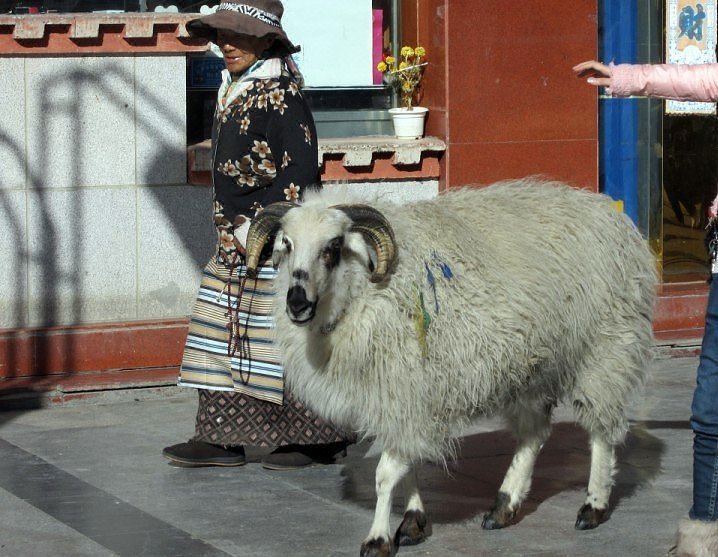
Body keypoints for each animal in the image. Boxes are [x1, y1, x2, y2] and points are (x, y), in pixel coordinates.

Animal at [244, 178, 657, 557]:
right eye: (287, 244)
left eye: (332, 247)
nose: (296, 303)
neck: (366, 291)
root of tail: (611, 213)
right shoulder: (401, 399)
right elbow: (406, 464)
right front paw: (413, 522)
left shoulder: (408, 391)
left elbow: (385, 474)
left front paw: (378, 539)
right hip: (531, 366)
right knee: (534, 434)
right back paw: (504, 505)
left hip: (605, 349)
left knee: (600, 431)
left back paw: (593, 506)